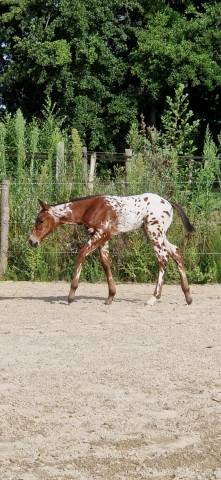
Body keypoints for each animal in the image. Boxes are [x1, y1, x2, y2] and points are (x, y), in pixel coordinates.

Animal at [28, 193, 194, 306]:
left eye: (40, 220)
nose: (31, 241)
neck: (91, 207)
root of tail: (168, 202)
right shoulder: (102, 238)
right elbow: (105, 263)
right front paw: (110, 296)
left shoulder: (102, 234)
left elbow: (82, 254)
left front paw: (71, 295)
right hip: (158, 234)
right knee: (176, 253)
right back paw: (188, 296)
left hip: (154, 233)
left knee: (163, 259)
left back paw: (153, 298)